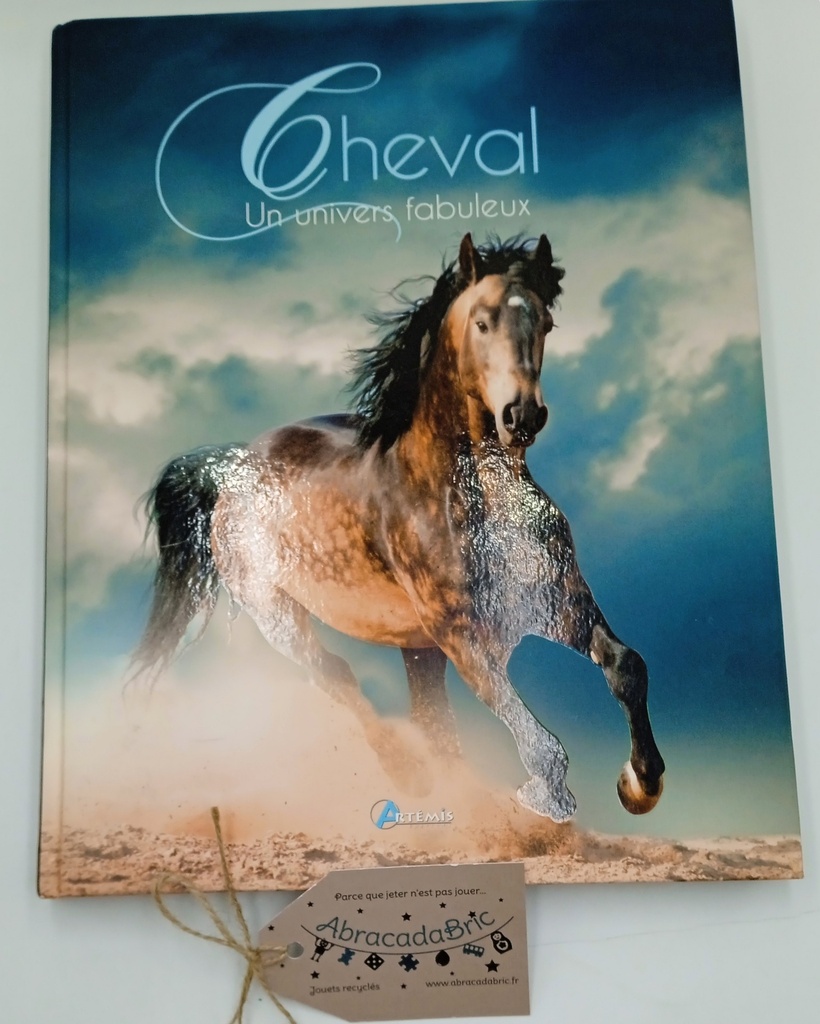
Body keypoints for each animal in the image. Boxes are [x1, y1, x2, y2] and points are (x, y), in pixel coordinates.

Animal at [133, 233, 665, 822]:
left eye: (546, 323)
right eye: (482, 322)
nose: (522, 416)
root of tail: (230, 466)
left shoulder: (560, 603)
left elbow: (627, 666)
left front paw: (640, 784)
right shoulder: (462, 636)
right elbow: (539, 742)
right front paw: (547, 798)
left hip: (416, 647)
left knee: (432, 723)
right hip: (277, 612)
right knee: (337, 675)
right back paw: (409, 774)